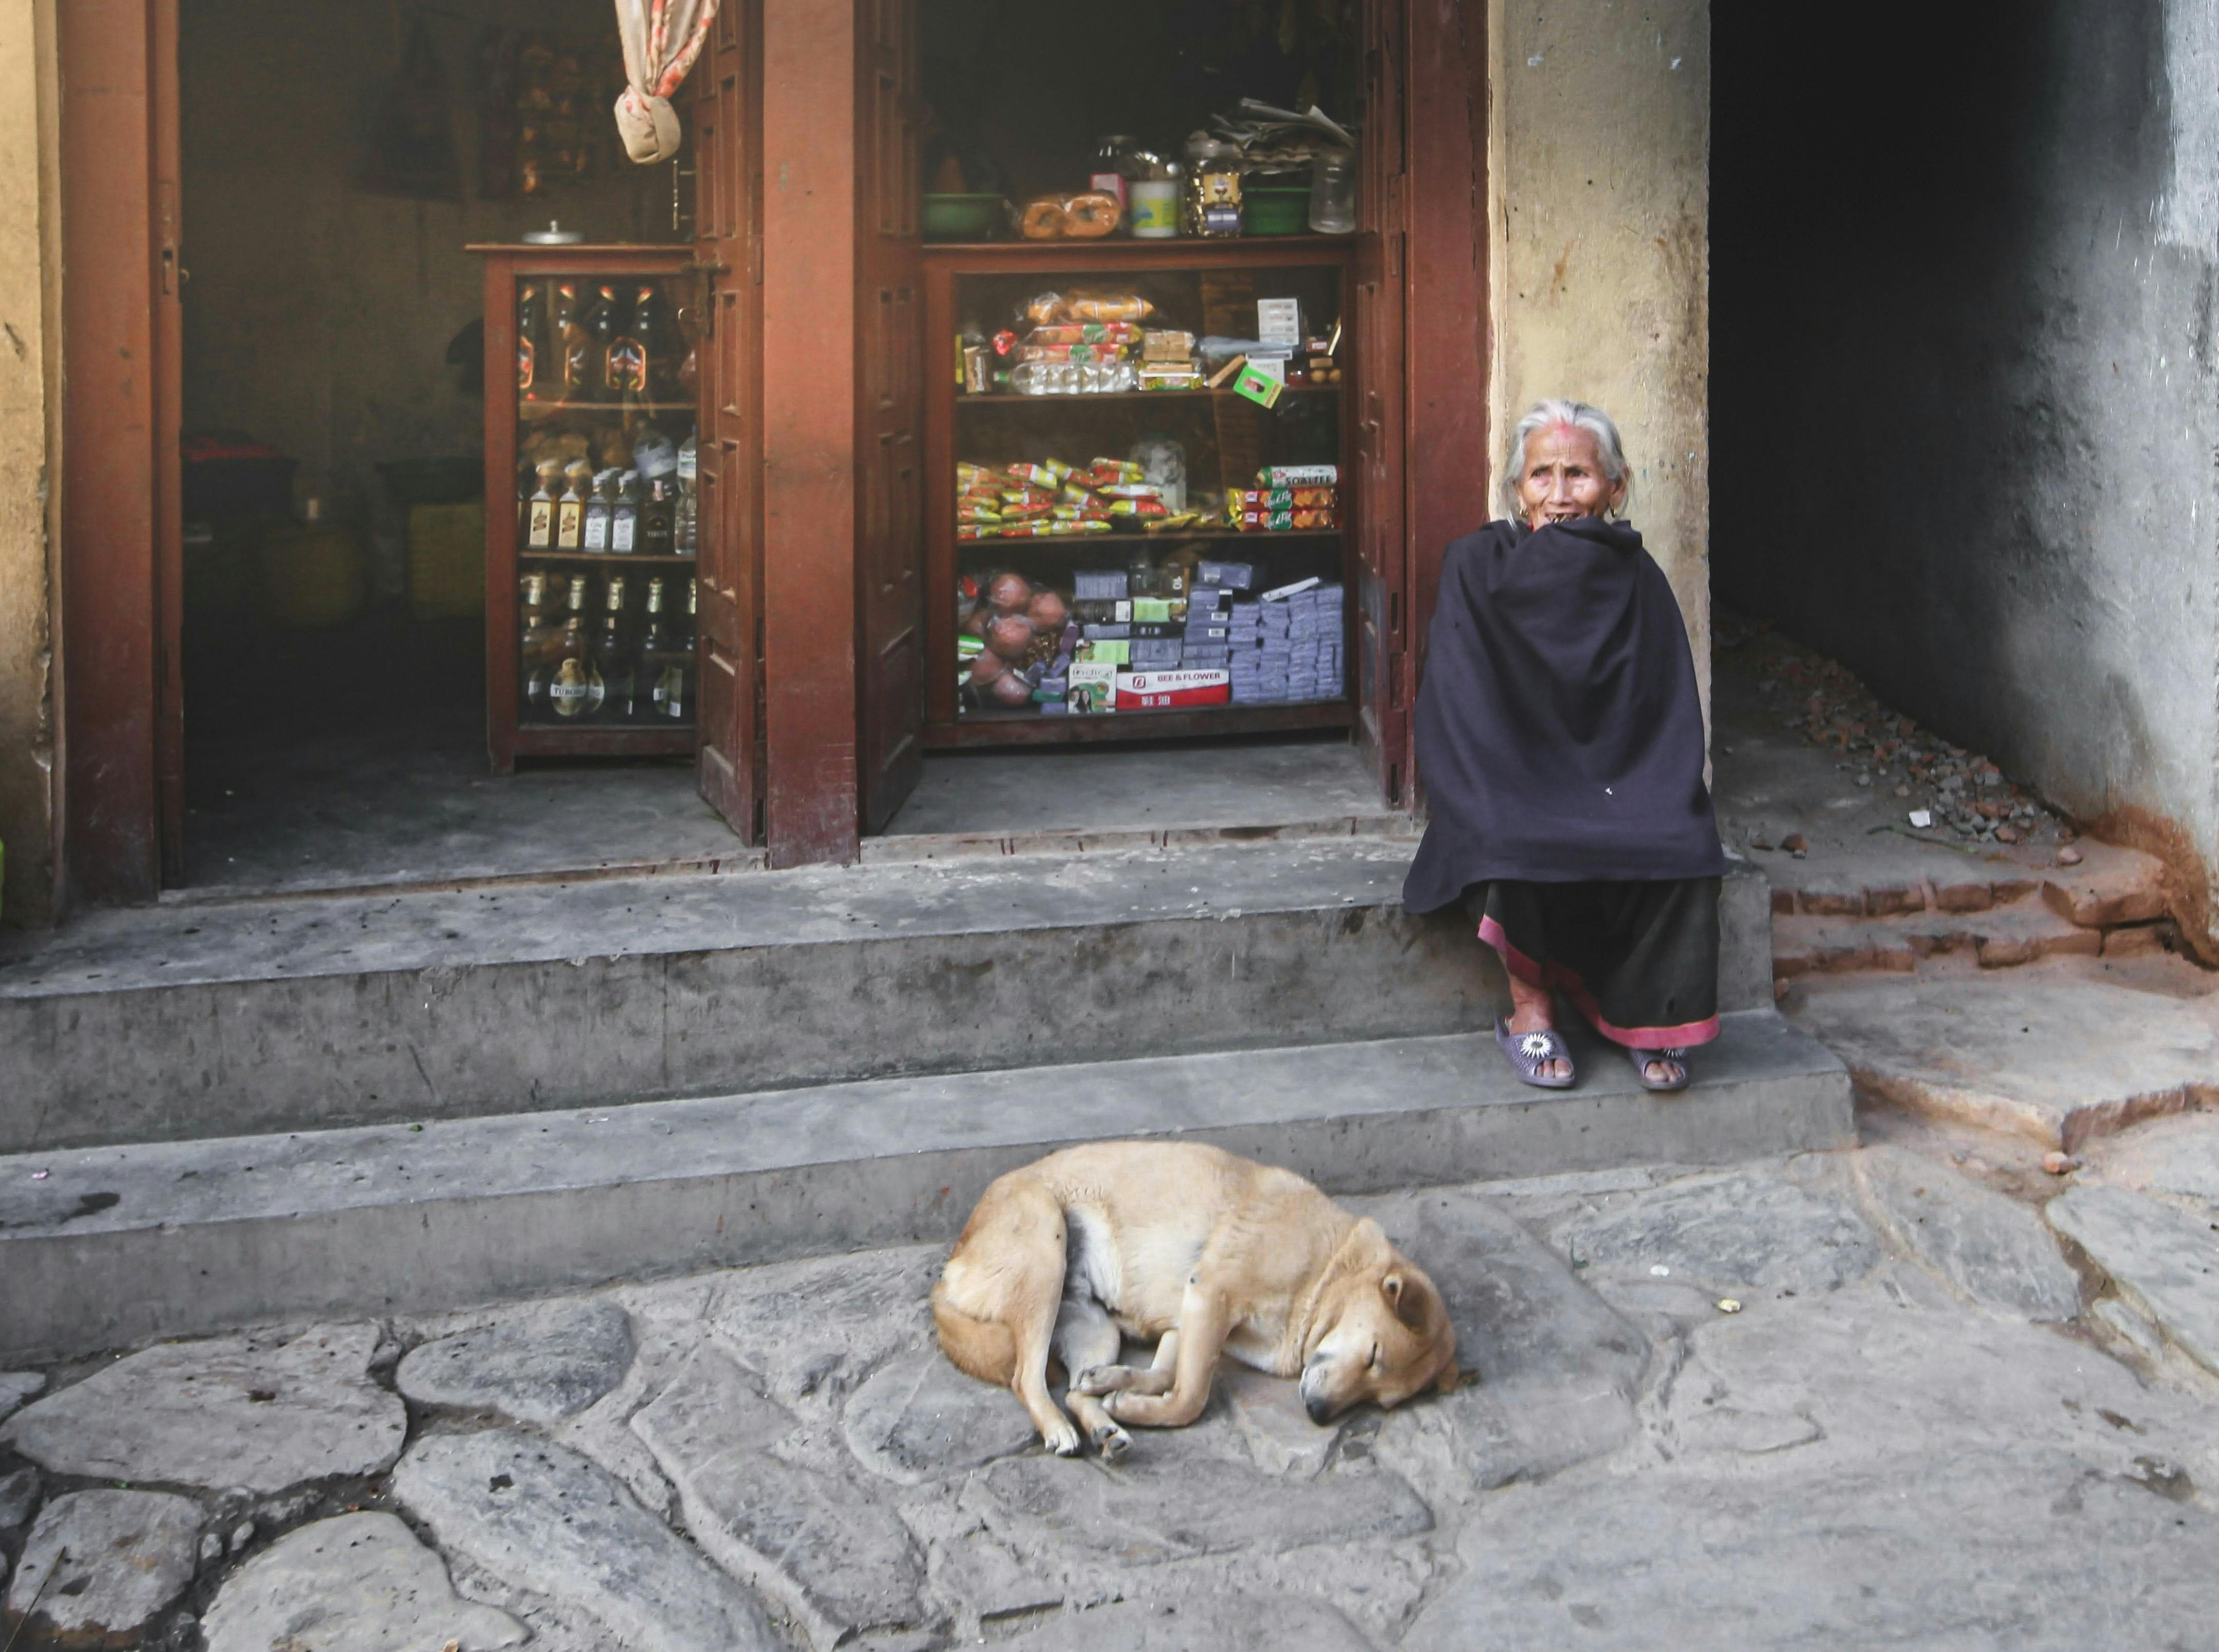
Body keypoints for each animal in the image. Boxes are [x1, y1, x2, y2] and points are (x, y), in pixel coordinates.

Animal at [932, 1144, 1464, 1446]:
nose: (1318, 1415)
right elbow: (1190, 1395)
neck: (1329, 1270)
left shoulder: (1187, 1320)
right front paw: (1143, 1404)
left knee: (1072, 1387)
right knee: (1027, 1378)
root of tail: (950, 1270)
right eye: (1373, 1355)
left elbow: (1165, 1372)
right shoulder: (1211, 1297)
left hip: (1093, 1326)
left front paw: (1120, 1387)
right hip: (1046, 1254)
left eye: (1381, 1401)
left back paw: (1104, 1425)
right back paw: (1060, 1428)